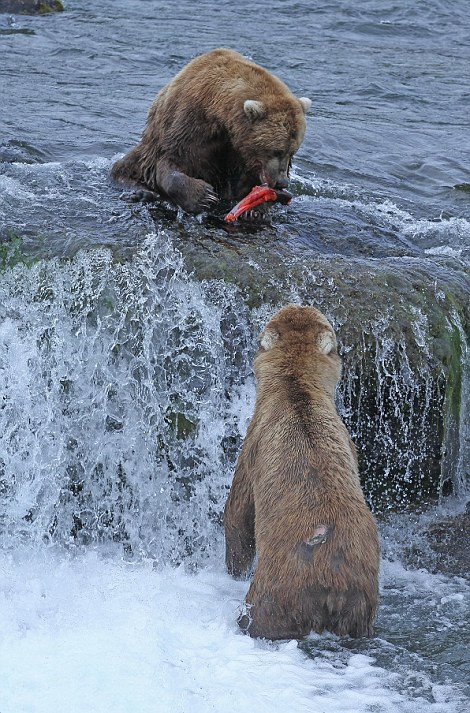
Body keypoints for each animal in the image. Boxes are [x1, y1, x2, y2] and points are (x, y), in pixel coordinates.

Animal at [109, 48, 308, 214]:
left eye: (292, 152)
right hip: (147, 147)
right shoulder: (190, 123)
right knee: (125, 169)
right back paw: (141, 192)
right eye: (277, 151)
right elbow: (172, 161)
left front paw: (255, 208)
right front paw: (204, 196)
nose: (282, 182)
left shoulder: (238, 152)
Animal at [222, 304, 380, 636]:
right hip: (361, 590)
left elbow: (238, 510)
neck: (297, 388)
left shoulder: (256, 440)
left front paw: (233, 567)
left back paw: (245, 621)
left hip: (282, 582)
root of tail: (331, 577)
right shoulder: (348, 439)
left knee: (262, 613)